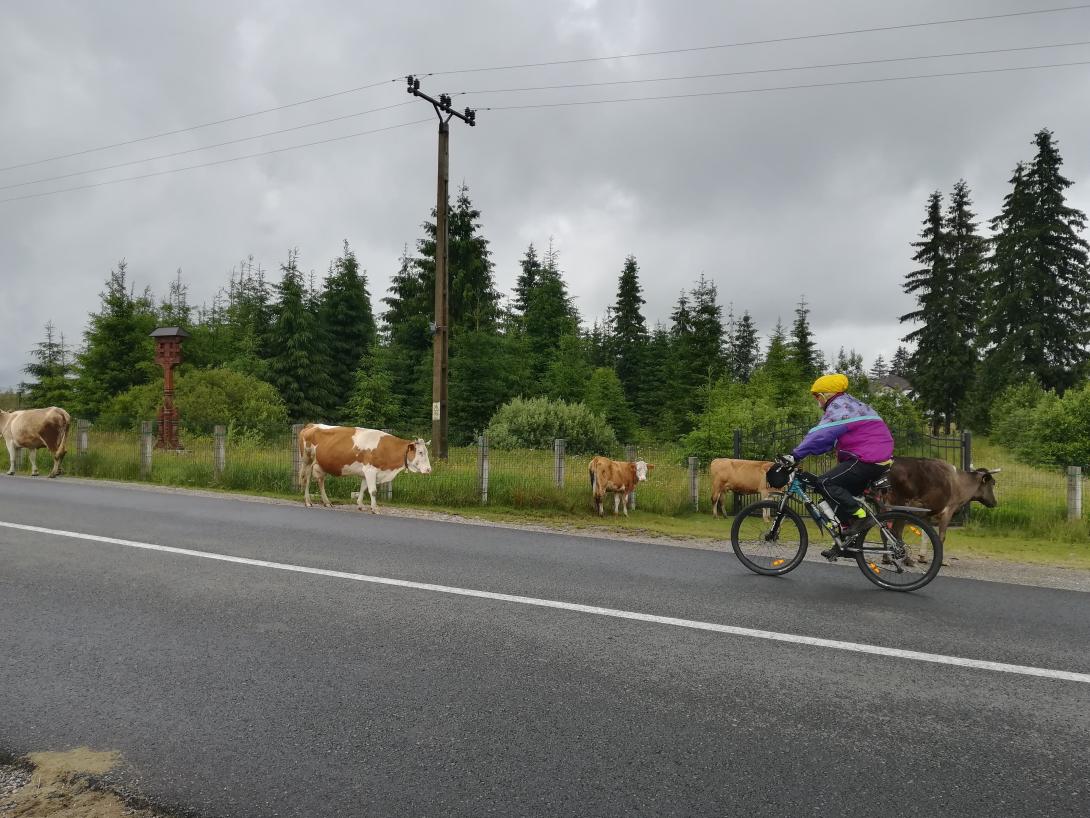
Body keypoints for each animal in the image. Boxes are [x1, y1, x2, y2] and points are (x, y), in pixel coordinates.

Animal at [303, 425, 433, 514]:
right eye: (420, 452)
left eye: (426, 452)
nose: (429, 469)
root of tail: (311, 425)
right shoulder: (370, 470)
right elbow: (373, 491)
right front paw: (375, 508)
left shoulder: (367, 472)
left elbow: (363, 488)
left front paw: (361, 505)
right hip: (307, 462)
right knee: (307, 480)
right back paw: (308, 502)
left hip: (320, 465)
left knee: (320, 481)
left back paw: (327, 502)